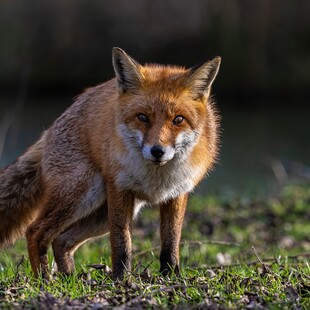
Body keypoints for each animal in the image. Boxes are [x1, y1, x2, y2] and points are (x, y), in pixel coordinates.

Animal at [0, 47, 220, 280]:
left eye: (178, 119)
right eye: (142, 117)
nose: (157, 151)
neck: (156, 177)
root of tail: (49, 129)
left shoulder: (177, 194)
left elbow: (171, 243)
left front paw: (171, 276)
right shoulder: (119, 188)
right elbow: (122, 242)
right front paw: (121, 278)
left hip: (100, 214)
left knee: (61, 240)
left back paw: (70, 278)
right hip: (81, 195)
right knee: (35, 231)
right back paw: (45, 279)